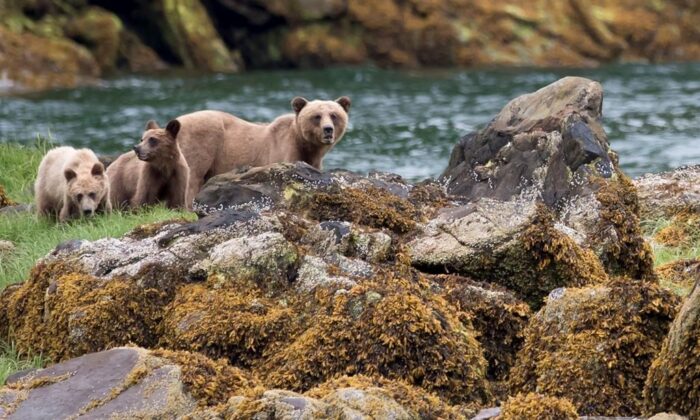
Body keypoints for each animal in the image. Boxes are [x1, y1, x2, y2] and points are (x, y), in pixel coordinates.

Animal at [170, 97, 350, 205]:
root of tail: (178, 121)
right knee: (193, 176)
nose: (328, 130)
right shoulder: (283, 150)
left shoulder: (315, 160)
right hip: (202, 143)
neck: (306, 145)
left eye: (334, 115)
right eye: (317, 116)